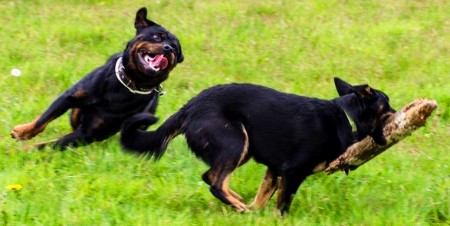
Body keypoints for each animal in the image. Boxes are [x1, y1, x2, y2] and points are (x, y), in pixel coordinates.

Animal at [10, 6, 183, 150]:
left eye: (175, 48)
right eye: (157, 37)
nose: (169, 49)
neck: (129, 82)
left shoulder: (87, 134)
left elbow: (50, 145)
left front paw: (24, 151)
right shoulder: (68, 97)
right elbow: (42, 121)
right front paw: (22, 132)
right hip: (75, 112)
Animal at [119, 77, 394, 215]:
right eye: (387, 102)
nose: (396, 110)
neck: (346, 116)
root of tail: (188, 108)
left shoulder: (274, 170)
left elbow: (263, 199)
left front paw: (257, 217)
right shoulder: (293, 172)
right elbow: (282, 206)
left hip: (242, 149)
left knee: (211, 177)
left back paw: (238, 203)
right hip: (236, 142)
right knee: (215, 181)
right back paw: (238, 205)